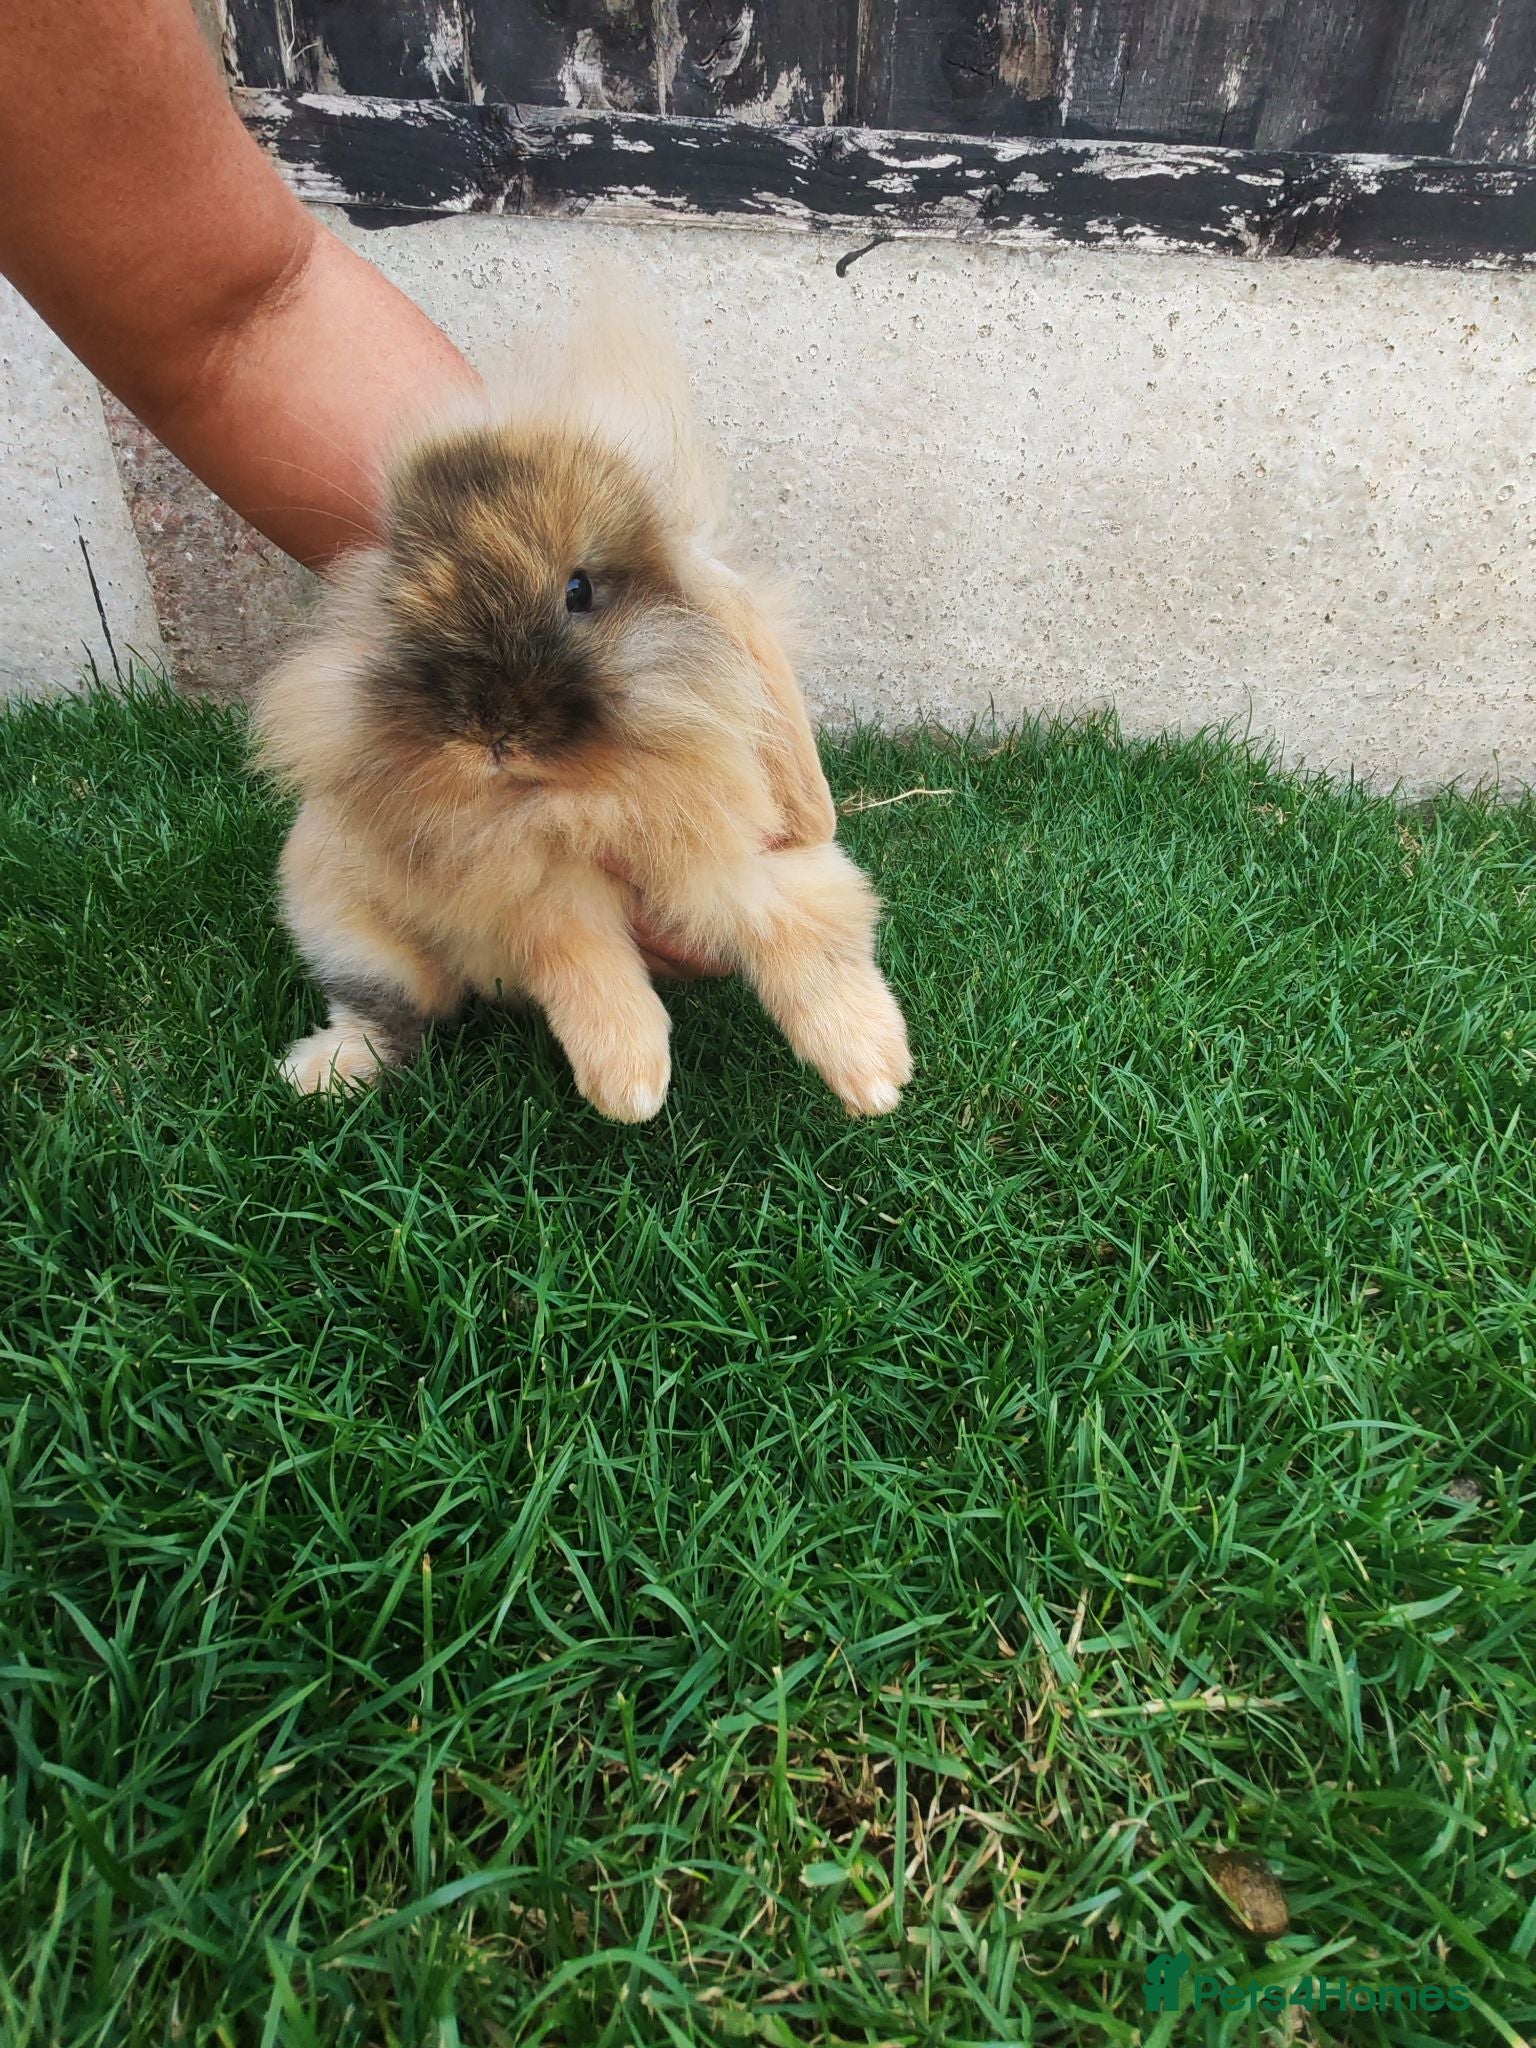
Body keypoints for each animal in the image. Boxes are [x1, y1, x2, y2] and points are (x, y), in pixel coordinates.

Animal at [252, 287, 911, 1124]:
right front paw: (630, 1085)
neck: (583, 797)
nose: (490, 735)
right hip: (346, 925)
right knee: (390, 1011)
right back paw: (318, 1073)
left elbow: (810, 949)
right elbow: (588, 972)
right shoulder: (544, 898)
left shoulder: (760, 867)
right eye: (404, 597)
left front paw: (875, 1076)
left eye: (579, 591)